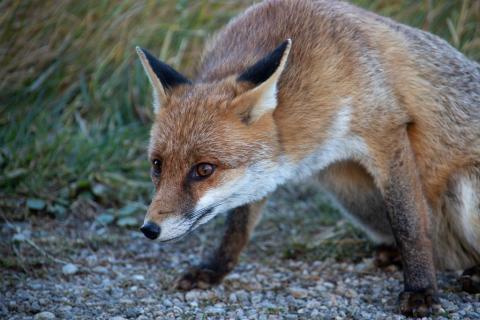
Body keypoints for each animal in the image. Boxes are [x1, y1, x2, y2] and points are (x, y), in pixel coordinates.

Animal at [136, 0, 480, 316]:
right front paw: (215, 268)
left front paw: (420, 290)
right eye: (157, 165)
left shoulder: (386, 132)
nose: (149, 229)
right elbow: (238, 226)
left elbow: (409, 226)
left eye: (204, 169)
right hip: (355, 196)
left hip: (463, 187)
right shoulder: (262, 171)